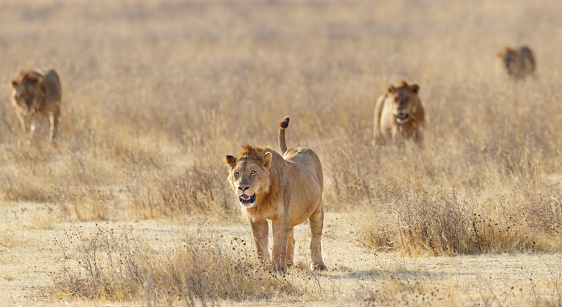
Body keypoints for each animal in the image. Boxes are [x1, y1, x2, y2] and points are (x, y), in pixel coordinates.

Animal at [223, 115, 326, 272]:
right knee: (291, 238)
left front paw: (278, 268)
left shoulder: (280, 215)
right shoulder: (256, 218)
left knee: (315, 238)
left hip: (318, 207)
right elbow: (261, 246)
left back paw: (318, 265)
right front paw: (266, 268)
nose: (242, 187)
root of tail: (296, 148)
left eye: (253, 172)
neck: (261, 198)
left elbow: (278, 245)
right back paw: (289, 263)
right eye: (237, 173)